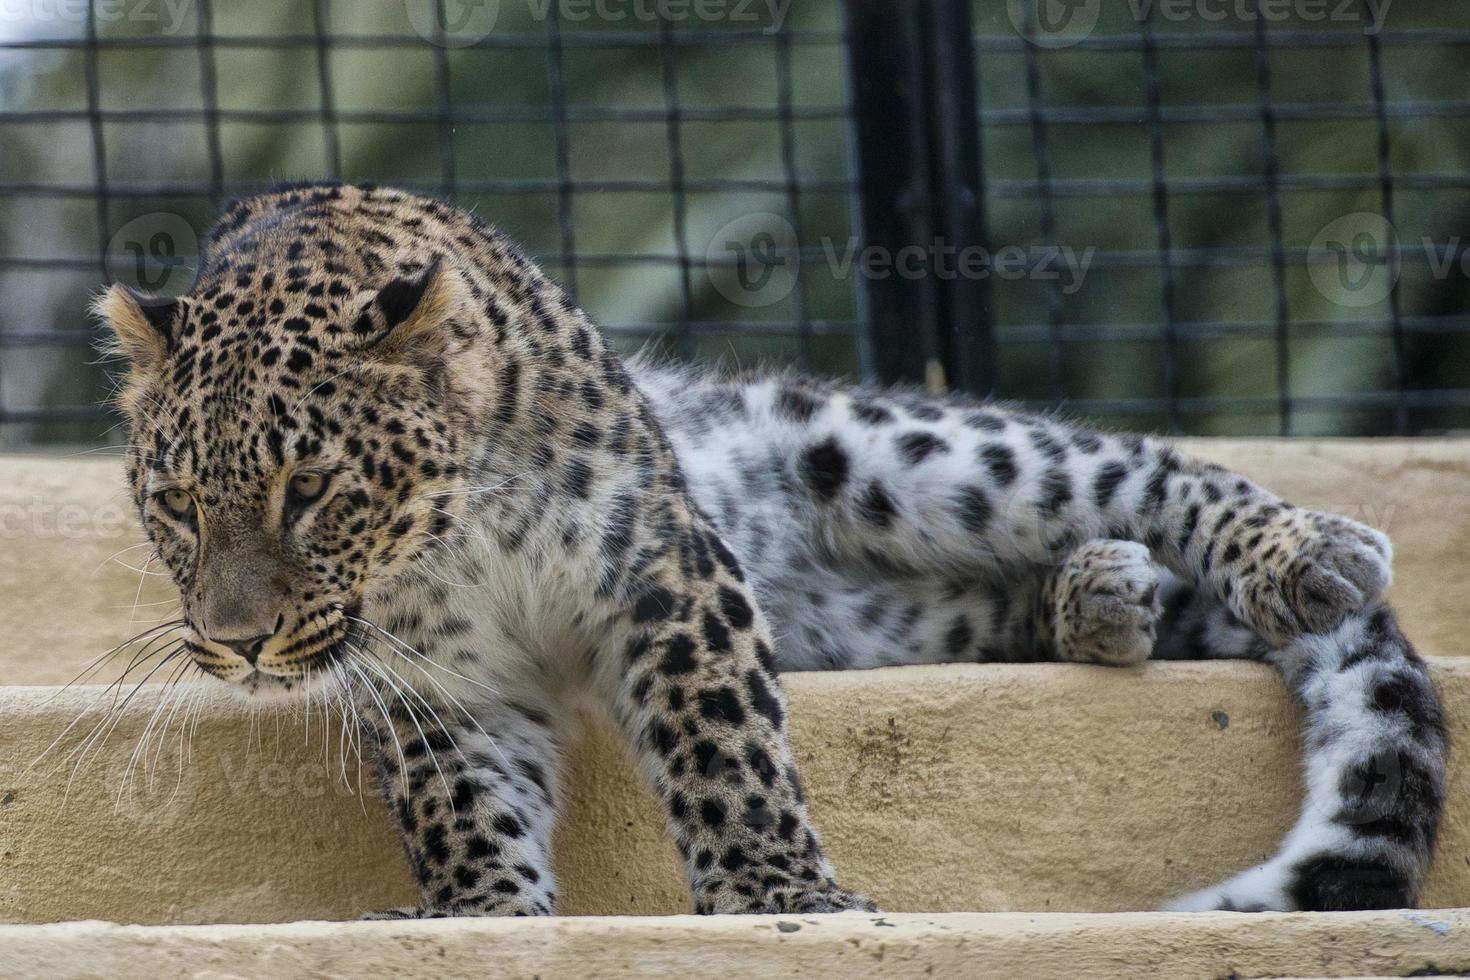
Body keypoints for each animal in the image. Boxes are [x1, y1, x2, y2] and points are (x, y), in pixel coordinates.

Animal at [100, 182, 1446, 922]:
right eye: (176, 503)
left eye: (310, 488)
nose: (236, 645)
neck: (451, 541)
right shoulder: (439, 674)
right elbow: (462, 795)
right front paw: (476, 910)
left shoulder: (660, 565)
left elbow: (721, 741)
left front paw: (779, 895)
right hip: (866, 622)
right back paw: (1103, 598)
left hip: (898, 453)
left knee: (1146, 470)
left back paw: (1302, 551)